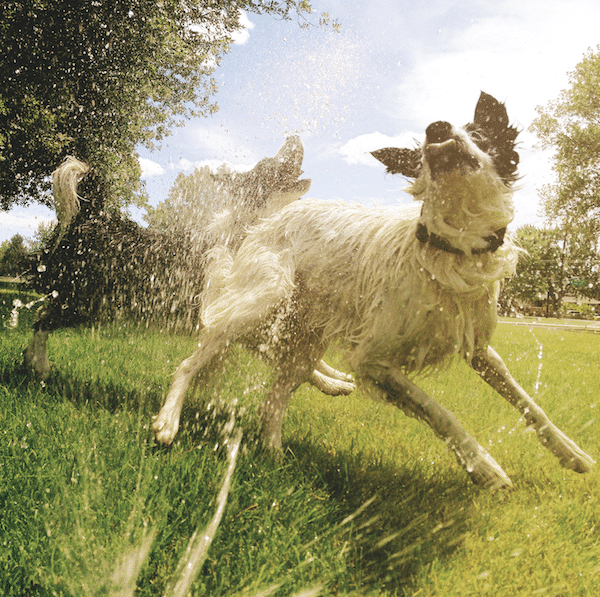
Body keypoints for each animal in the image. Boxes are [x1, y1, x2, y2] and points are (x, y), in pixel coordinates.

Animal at [23, 134, 356, 396]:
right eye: (268, 164)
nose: (293, 135)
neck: (250, 229)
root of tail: (93, 216)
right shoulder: (235, 318)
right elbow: (299, 363)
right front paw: (335, 384)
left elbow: (307, 357)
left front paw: (338, 376)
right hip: (87, 301)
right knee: (42, 320)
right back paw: (41, 366)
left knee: (41, 313)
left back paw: (29, 360)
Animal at [151, 91, 596, 486]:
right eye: (422, 153)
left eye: (479, 134)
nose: (436, 126)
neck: (451, 249)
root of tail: (265, 221)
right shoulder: (371, 360)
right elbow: (438, 411)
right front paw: (483, 467)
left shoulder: (479, 347)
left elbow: (527, 402)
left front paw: (571, 453)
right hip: (264, 298)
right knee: (194, 359)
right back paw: (168, 421)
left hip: (305, 337)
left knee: (272, 401)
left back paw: (275, 454)